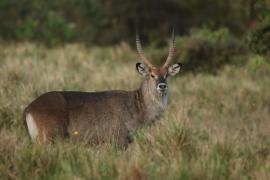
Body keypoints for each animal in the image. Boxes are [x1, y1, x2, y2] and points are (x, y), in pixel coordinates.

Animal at [23, 31, 182, 147]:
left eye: (166, 75)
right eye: (152, 75)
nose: (162, 86)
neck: (138, 105)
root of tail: (29, 108)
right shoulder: (119, 142)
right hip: (48, 139)